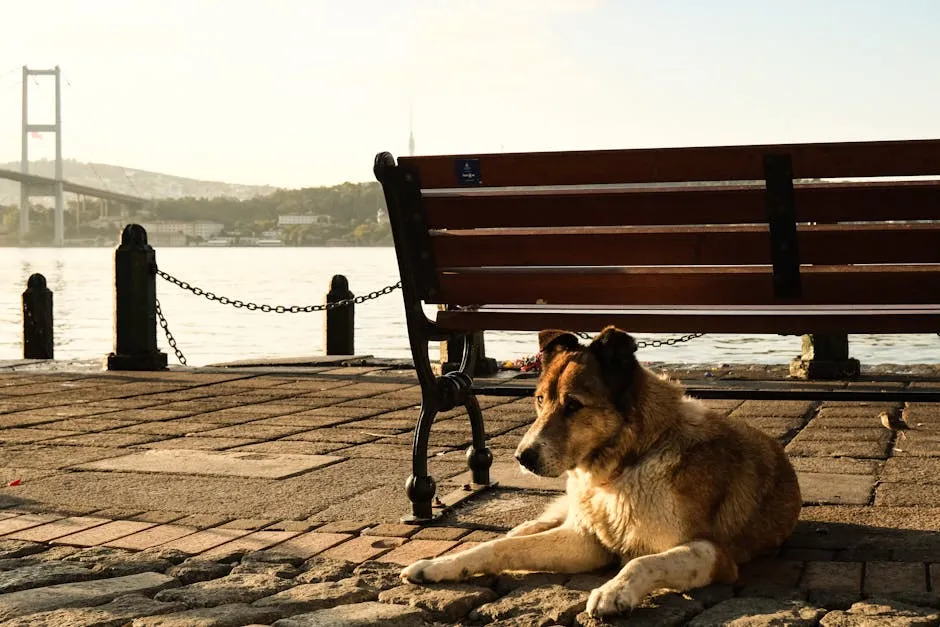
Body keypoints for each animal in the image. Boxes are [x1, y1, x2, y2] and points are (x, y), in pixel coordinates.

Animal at [400, 328, 804, 620]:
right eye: (540, 400)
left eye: (574, 405)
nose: (522, 457)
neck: (626, 467)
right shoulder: (587, 540)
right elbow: (500, 546)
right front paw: (440, 566)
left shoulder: (714, 554)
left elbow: (644, 560)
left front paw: (614, 590)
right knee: (541, 521)